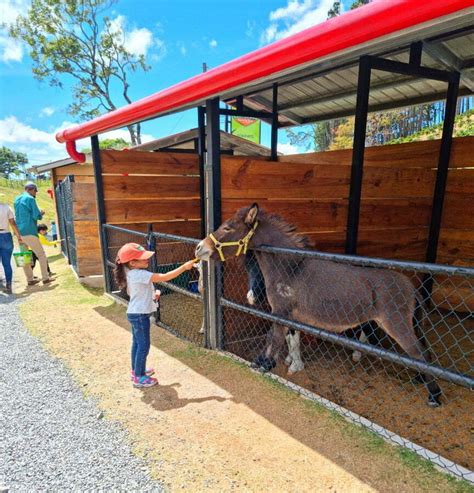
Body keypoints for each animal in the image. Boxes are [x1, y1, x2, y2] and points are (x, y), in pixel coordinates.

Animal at [194, 202, 442, 406]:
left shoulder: (280, 312)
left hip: (395, 323)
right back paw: (420, 380)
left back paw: (434, 396)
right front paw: (287, 362)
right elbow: (289, 340)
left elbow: (274, 337)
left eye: (228, 228)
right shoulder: (292, 316)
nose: (199, 248)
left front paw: (264, 363)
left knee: (419, 354)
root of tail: (410, 285)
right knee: (420, 353)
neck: (290, 267)